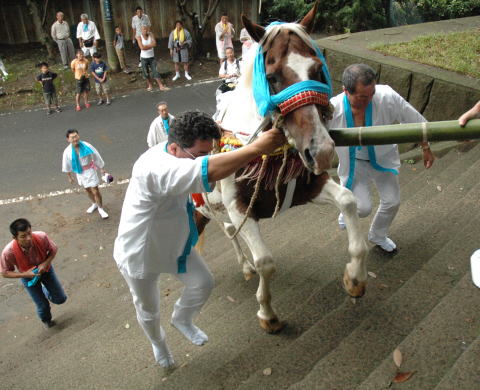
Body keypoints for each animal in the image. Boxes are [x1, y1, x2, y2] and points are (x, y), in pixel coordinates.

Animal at [195, 1, 368, 334]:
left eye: (317, 70)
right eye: (273, 77)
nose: (321, 151)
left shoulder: (308, 185)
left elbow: (348, 200)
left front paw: (354, 277)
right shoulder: (240, 206)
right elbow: (266, 262)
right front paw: (268, 314)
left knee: (228, 231)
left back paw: (245, 267)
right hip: (198, 211)